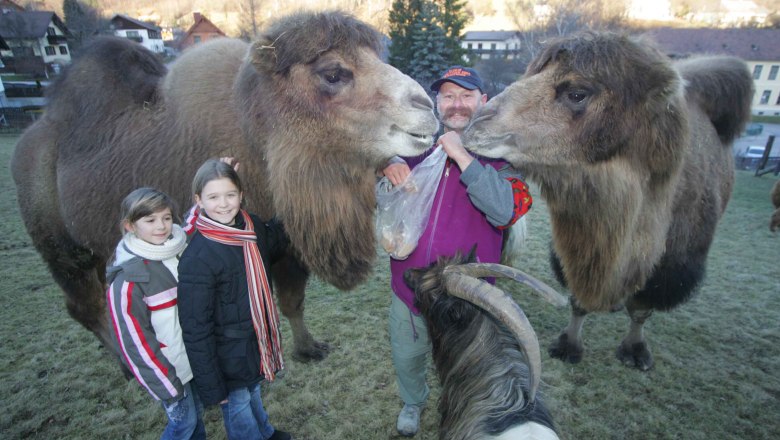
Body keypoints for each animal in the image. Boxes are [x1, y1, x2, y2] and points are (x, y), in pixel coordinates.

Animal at [10, 11, 438, 368]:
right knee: (84, 304)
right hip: (63, 250)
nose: (427, 108)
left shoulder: (287, 242)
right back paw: (127, 364)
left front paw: (308, 348)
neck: (257, 138)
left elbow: (293, 301)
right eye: (333, 73)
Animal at [464, 32, 756, 372]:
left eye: (577, 93)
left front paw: (635, 351)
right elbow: (579, 298)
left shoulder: (668, 264)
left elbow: (642, 308)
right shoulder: (581, 244)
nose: (476, 124)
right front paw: (568, 345)